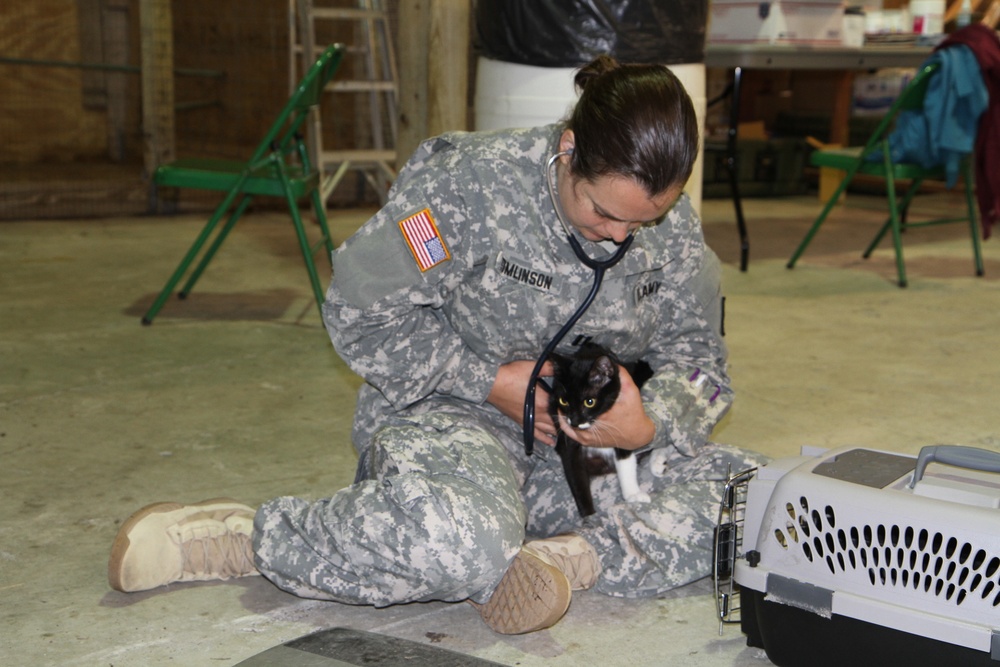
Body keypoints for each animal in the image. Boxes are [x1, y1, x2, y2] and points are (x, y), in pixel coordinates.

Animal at [552, 342, 652, 520]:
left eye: (589, 402)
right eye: (563, 401)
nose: (575, 422)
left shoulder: (626, 426)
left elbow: (626, 460)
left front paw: (633, 494)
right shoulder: (568, 441)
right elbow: (575, 475)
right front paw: (590, 517)